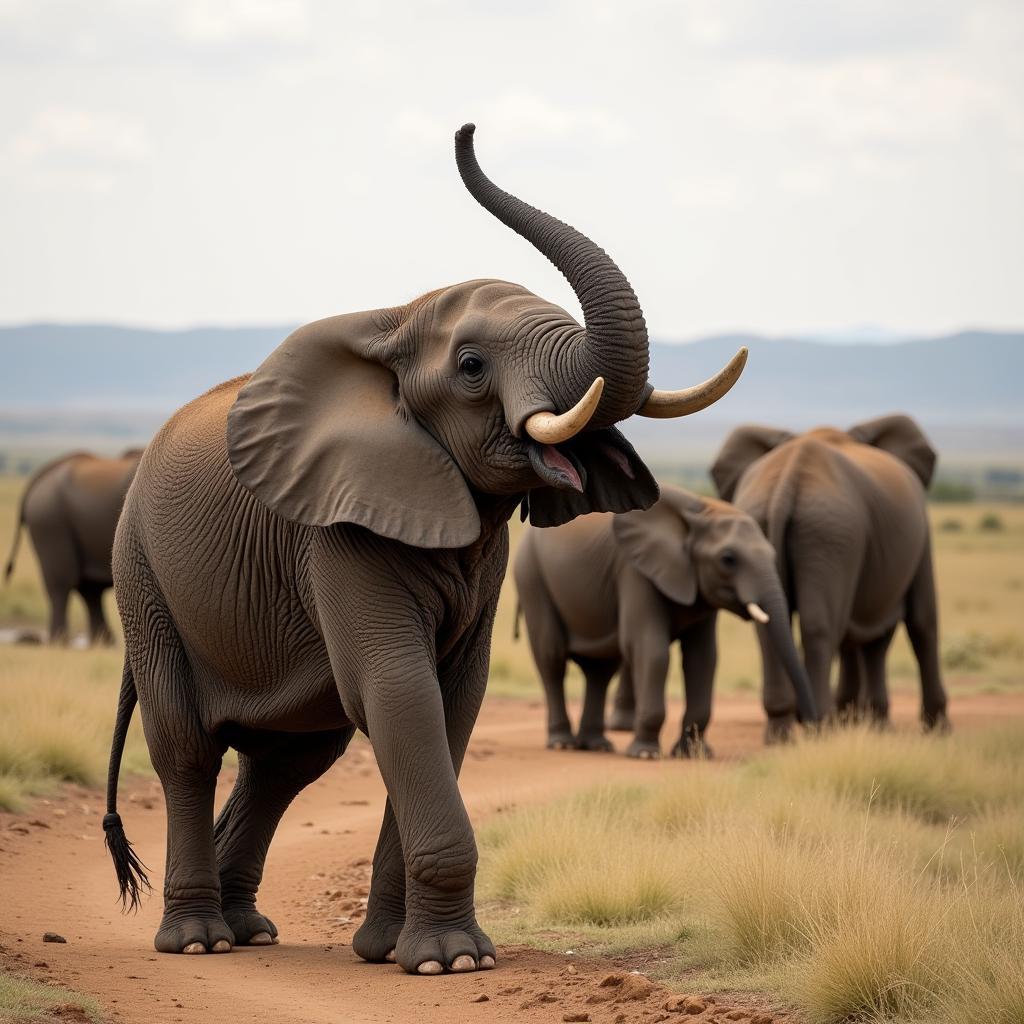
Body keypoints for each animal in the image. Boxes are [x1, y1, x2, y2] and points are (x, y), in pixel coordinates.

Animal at [103, 121, 745, 974]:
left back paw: (250, 930)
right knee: (186, 749)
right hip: (141, 572)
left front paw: (398, 953)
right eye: (471, 368)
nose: (468, 131)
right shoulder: (335, 531)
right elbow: (398, 689)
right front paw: (452, 960)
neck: (394, 319)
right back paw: (200, 941)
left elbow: (449, 701)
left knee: (287, 762)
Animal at [512, 485, 815, 761]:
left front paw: (693, 754)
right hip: (531, 576)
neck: (700, 512)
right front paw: (645, 754)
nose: (812, 725)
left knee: (600, 669)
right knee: (551, 659)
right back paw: (562, 743)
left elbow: (702, 659)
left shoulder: (700, 589)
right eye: (728, 559)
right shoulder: (633, 571)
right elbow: (650, 650)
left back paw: (596, 746)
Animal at [716, 411, 946, 741]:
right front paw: (938, 730)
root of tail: (790, 475)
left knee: (774, 627)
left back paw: (783, 734)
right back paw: (820, 726)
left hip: (785, 525)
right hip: (831, 533)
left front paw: (870, 724)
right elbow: (922, 619)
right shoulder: (921, 536)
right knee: (820, 626)